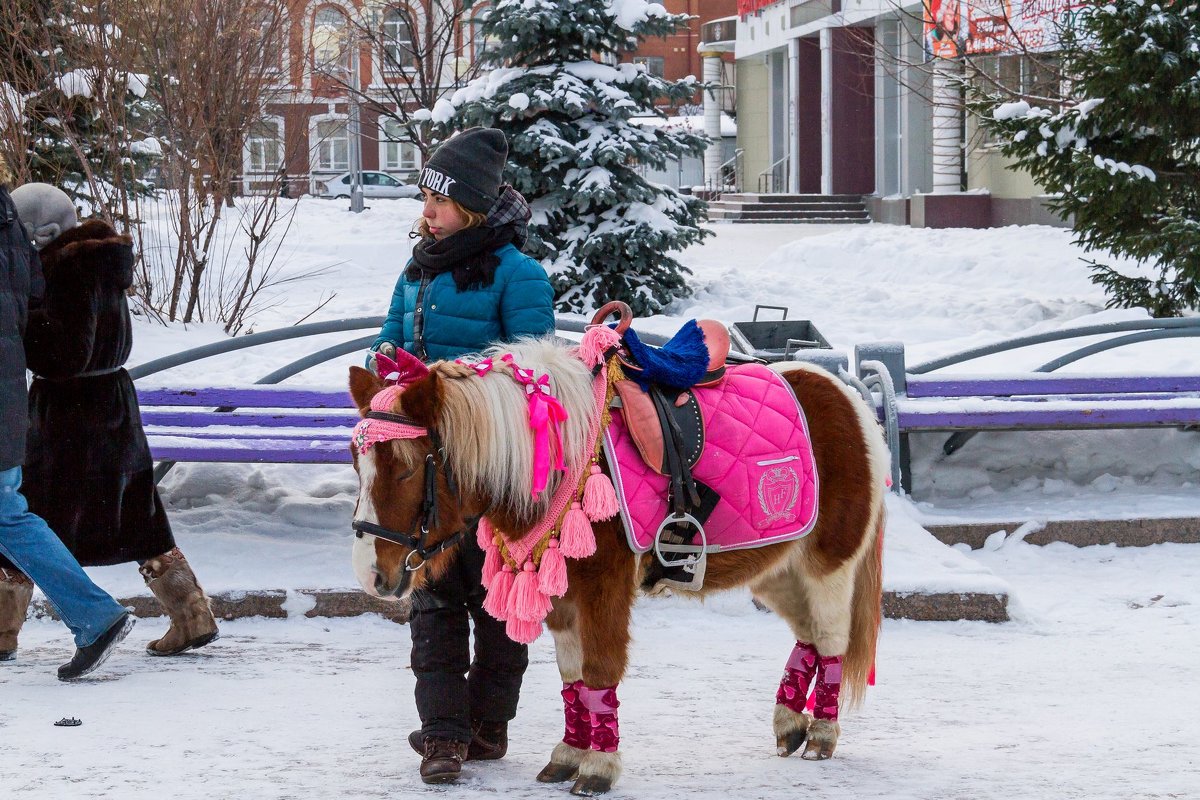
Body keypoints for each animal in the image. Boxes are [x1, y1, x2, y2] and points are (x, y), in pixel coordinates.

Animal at [348, 319, 892, 796]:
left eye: (405, 468)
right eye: (358, 462)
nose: (372, 575)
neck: (556, 453)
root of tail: (845, 396)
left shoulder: (604, 585)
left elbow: (600, 670)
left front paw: (598, 768)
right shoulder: (563, 592)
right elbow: (572, 678)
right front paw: (568, 755)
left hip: (828, 564)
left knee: (831, 638)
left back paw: (821, 734)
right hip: (774, 567)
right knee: (807, 636)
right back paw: (789, 723)